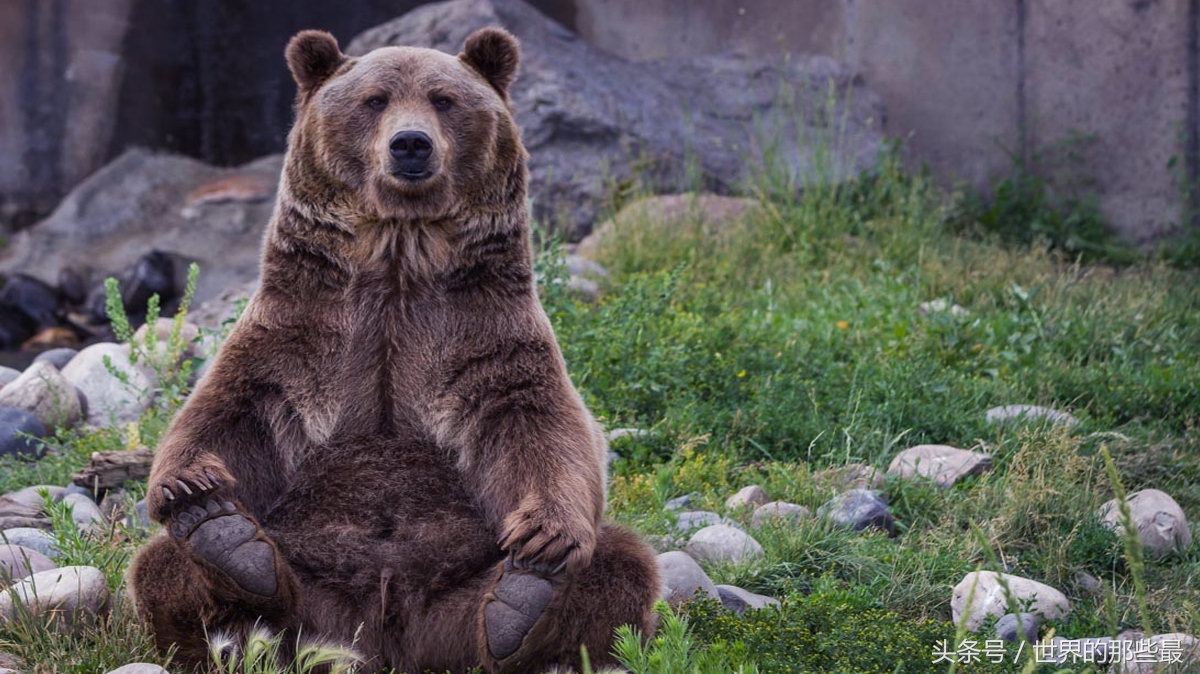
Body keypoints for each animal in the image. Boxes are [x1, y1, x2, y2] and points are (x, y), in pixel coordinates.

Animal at [126, 26, 662, 671]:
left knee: (621, 565)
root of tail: (385, 640)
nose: (411, 144)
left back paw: (520, 604)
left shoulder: (483, 336)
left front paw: (546, 535)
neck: (398, 258)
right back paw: (227, 544)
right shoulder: (302, 330)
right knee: (161, 567)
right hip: (314, 592)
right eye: (375, 99)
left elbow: (542, 426)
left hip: (454, 602)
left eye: (444, 99)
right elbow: (232, 410)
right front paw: (191, 488)